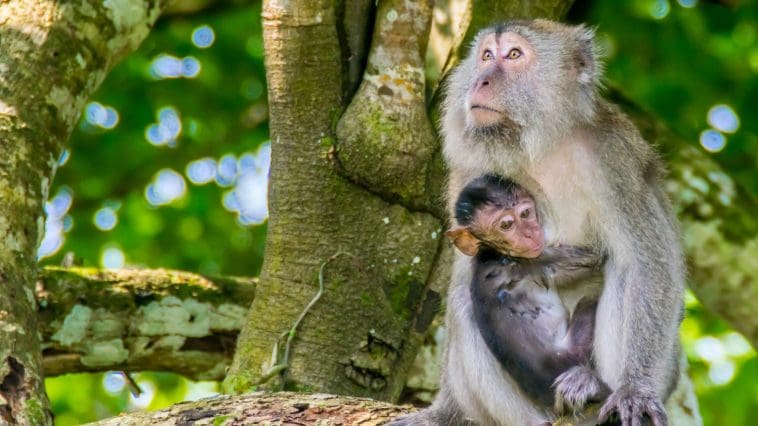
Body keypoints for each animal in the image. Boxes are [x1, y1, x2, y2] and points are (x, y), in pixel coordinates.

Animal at [446, 175, 612, 412]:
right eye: (506, 225)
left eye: (525, 213)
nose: (530, 232)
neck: (491, 252)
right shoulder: (537, 260)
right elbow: (594, 259)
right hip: (576, 351)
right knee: (588, 303)